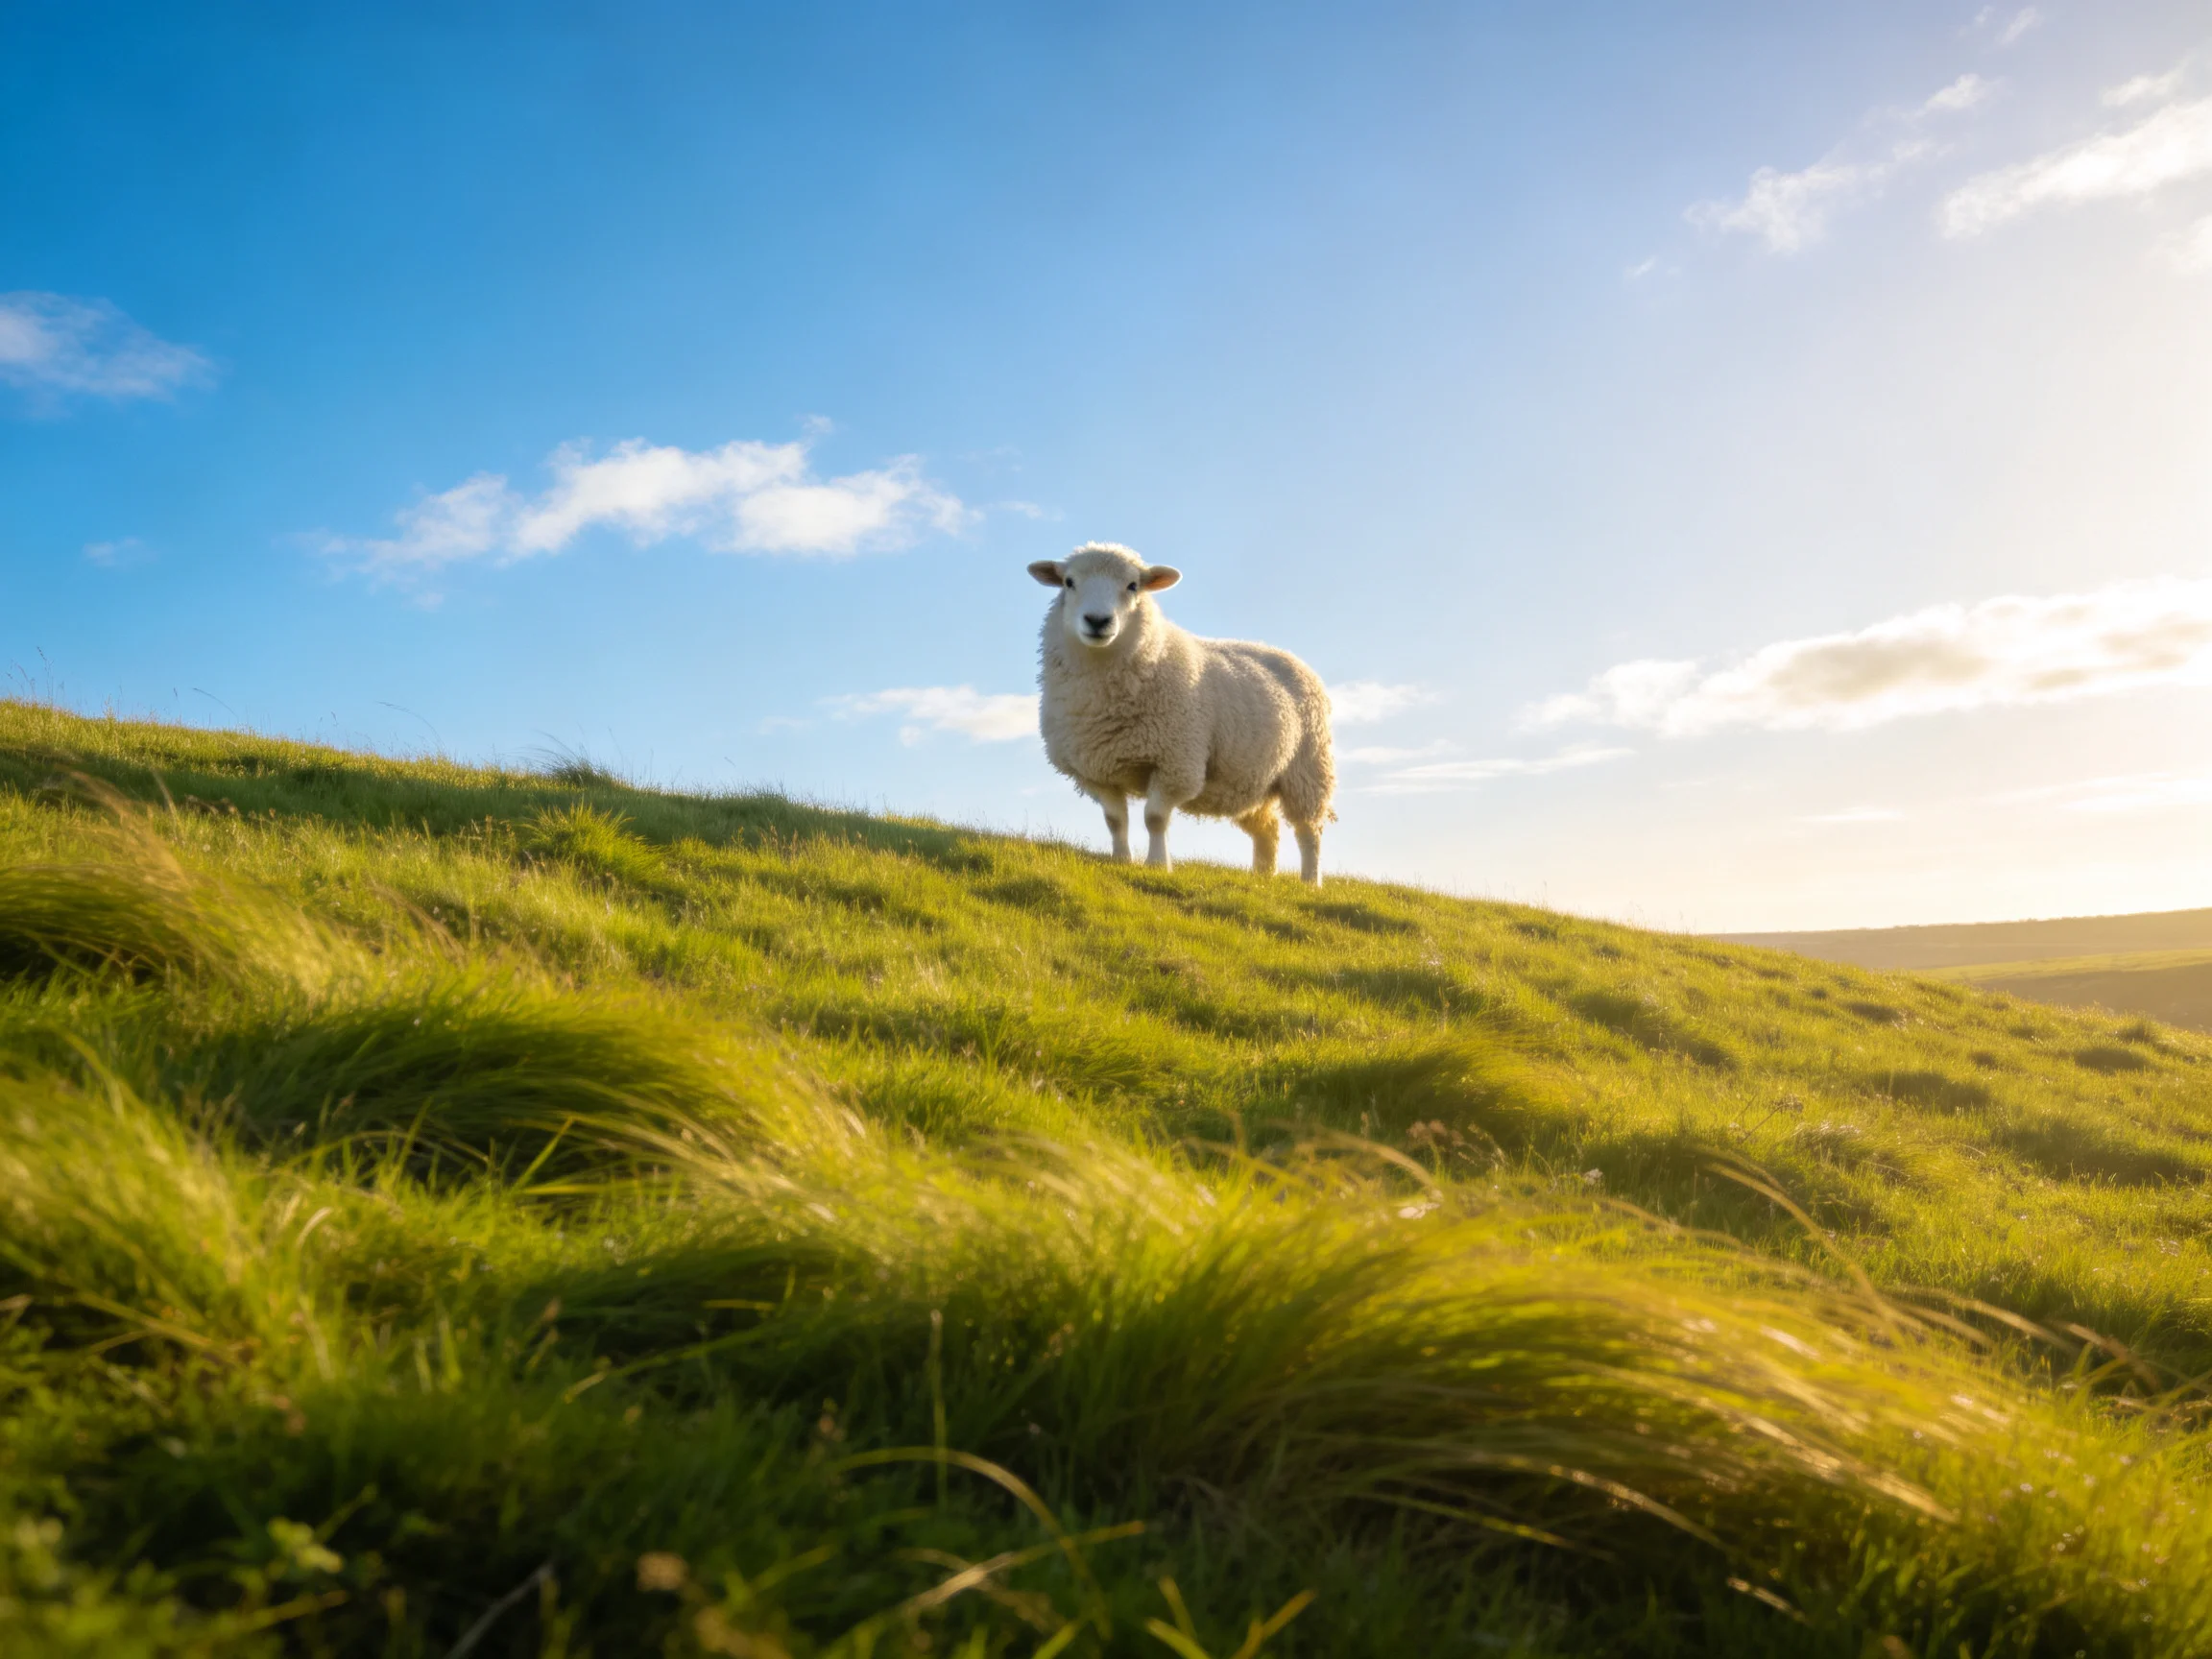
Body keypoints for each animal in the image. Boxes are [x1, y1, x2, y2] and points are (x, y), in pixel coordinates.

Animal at [1029, 542, 1336, 885]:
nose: (1097, 620)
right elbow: (1115, 820)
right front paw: (1121, 861)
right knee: (1267, 829)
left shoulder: (1176, 762)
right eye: (1069, 582)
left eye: (1133, 585)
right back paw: (1261, 879)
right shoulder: (1096, 771)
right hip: (1249, 780)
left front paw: (1157, 865)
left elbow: (1155, 818)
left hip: (1308, 770)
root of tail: (1286, 653)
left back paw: (1309, 882)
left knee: (1309, 832)